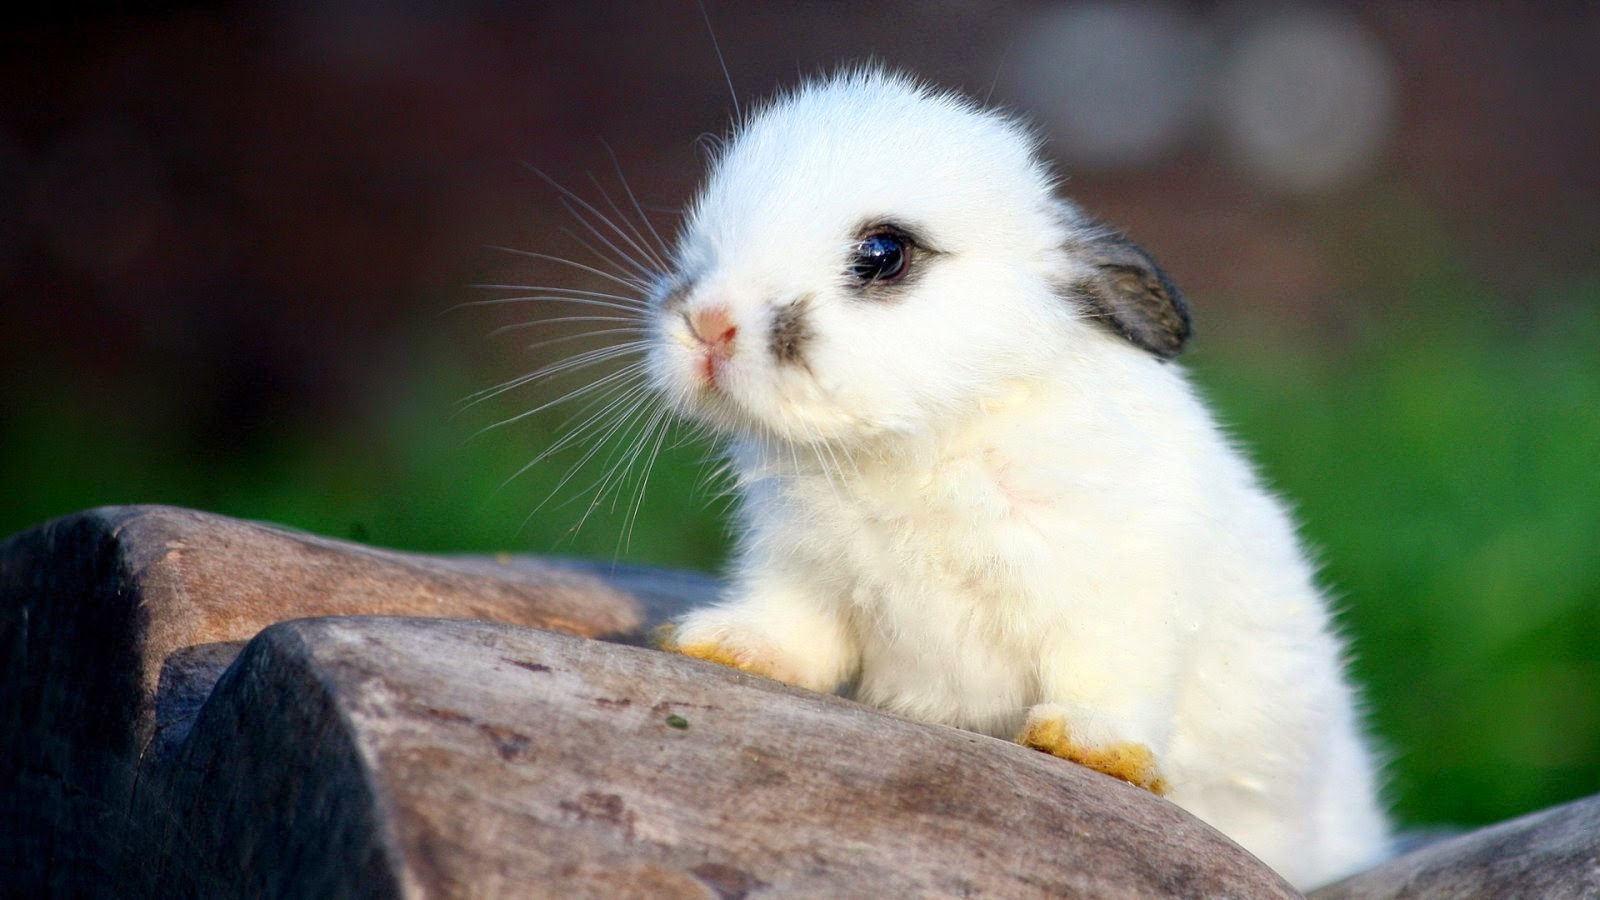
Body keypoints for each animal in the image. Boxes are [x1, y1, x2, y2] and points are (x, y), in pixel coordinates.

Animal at [634, 68, 1390, 888]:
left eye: (882, 253)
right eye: (706, 233)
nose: (708, 324)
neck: (921, 444)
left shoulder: (1116, 594)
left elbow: (1109, 676)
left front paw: (1087, 746)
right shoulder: (801, 572)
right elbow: (794, 632)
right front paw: (722, 644)